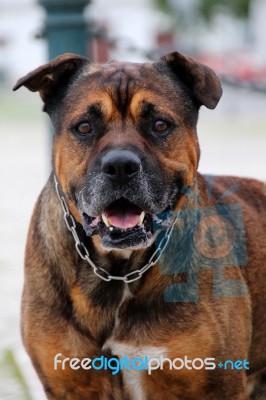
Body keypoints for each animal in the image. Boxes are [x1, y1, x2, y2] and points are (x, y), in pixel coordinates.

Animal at [14, 50, 266, 400]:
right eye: (84, 126)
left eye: (159, 125)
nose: (120, 165)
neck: (118, 271)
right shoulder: (69, 384)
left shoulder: (218, 386)